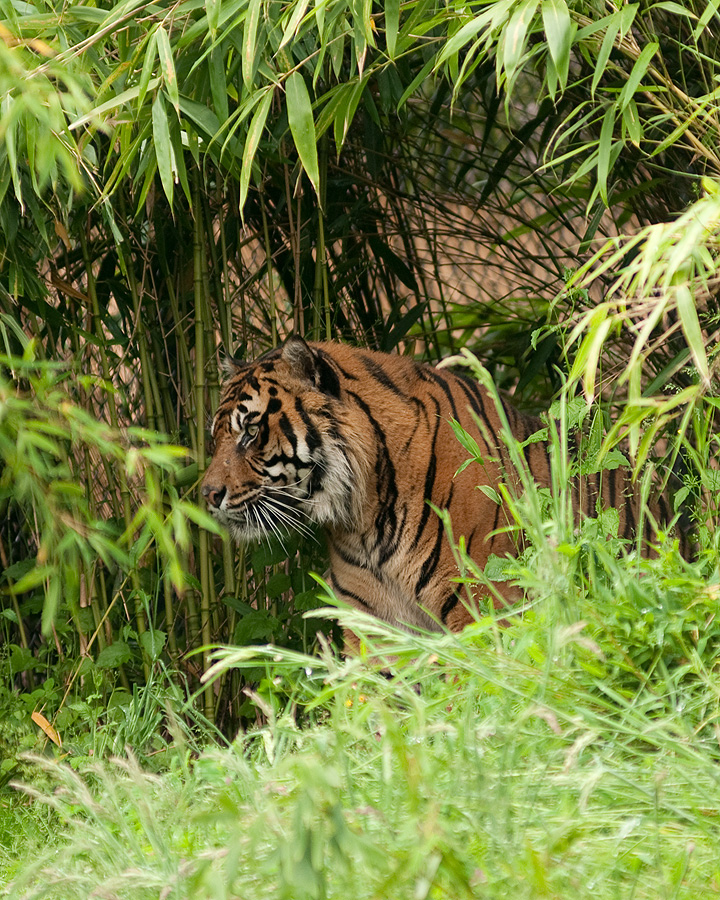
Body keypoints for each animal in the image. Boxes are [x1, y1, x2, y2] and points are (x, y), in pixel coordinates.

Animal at [202, 336, 679, 634]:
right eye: (216, 437)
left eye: (250, 432)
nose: (206, 495)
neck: (365, 513)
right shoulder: (375, 624)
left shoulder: (484, 606)